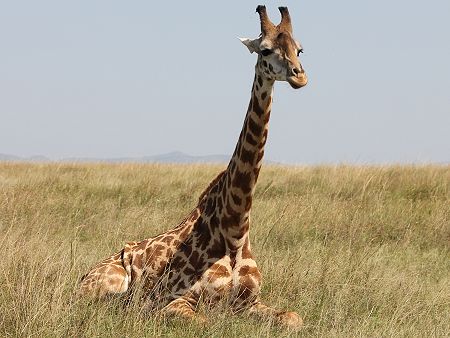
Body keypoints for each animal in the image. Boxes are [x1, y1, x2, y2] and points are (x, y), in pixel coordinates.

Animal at [79, 3, 308, 328]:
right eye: (265, 50)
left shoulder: (250, 302)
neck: (235, 229)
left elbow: (293, 317)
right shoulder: (171, 302)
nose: (299, 76)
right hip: (108, 286)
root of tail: (83, 276)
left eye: (299, 49)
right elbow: (204, 321)